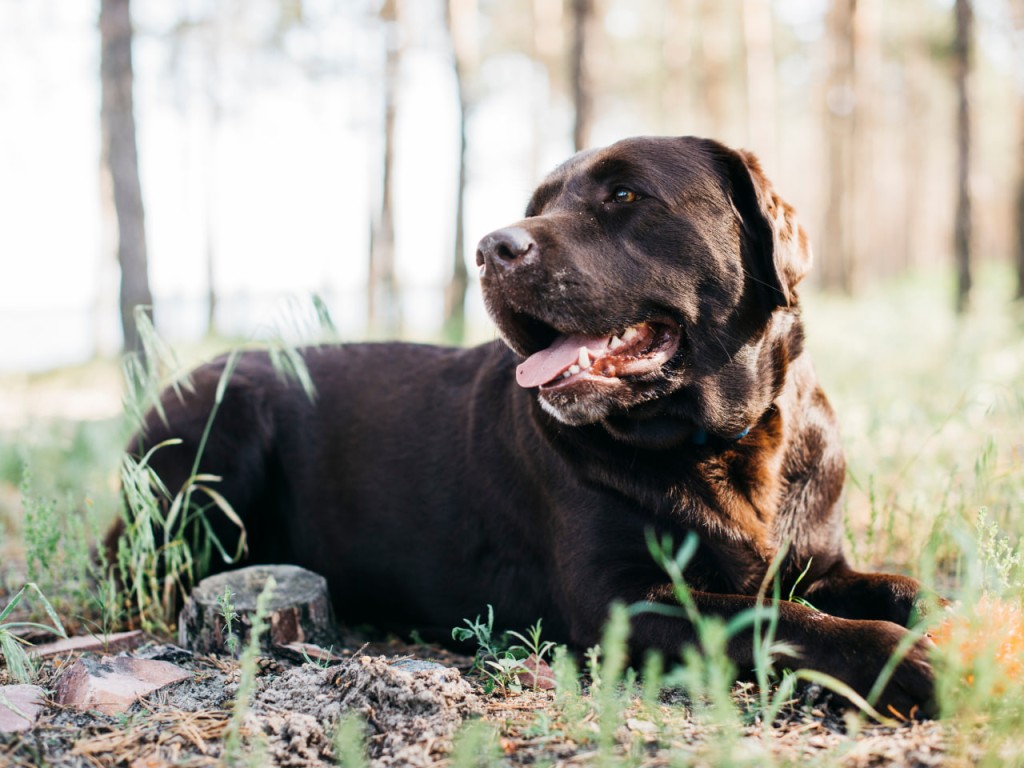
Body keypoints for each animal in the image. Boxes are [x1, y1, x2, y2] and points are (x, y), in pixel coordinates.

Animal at [117, 137, 937, 716]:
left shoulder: (820, 563)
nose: (491, 247)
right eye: (537, 202)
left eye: (624, 194)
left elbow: (894, 587)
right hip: (223, 421)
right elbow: (779, 619)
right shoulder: (618, 599)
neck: (726, 442)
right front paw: (906, 661)